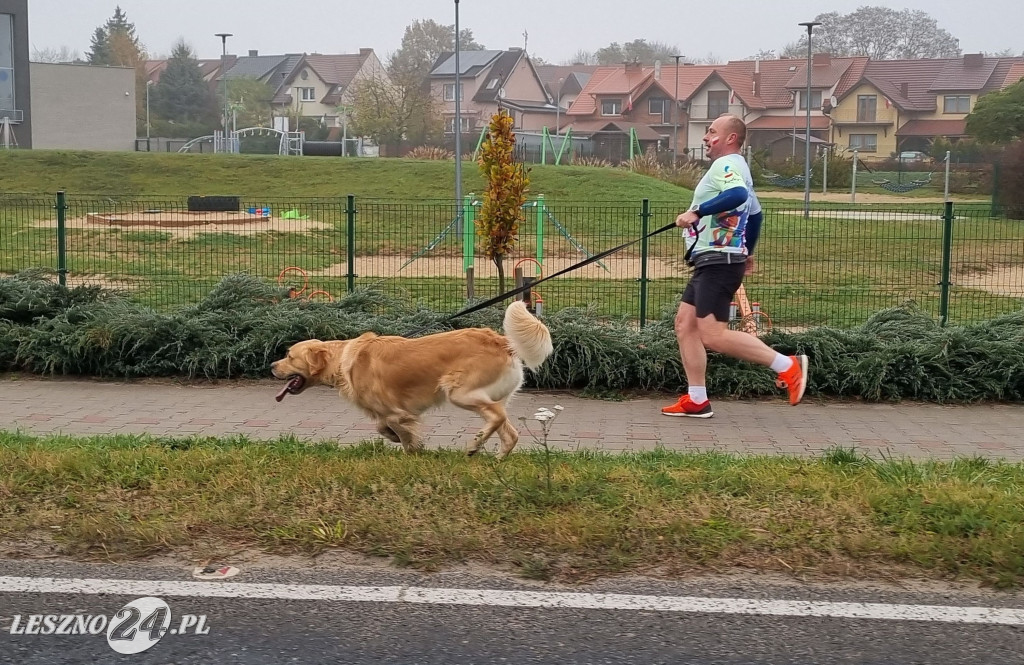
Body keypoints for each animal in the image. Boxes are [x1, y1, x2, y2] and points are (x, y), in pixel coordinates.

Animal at [272, 301, 552, 456]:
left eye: (289, 356)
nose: (272, 366)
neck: (343, 359)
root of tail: (501, 341)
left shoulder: (396, 412)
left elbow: (400, 432)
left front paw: (410, 450)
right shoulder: (390, 413)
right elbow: (382, 427)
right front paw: (394, 438)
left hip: (459, 392)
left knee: (497, 416)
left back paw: (474, 444)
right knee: (509, 431)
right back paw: (496, 457)